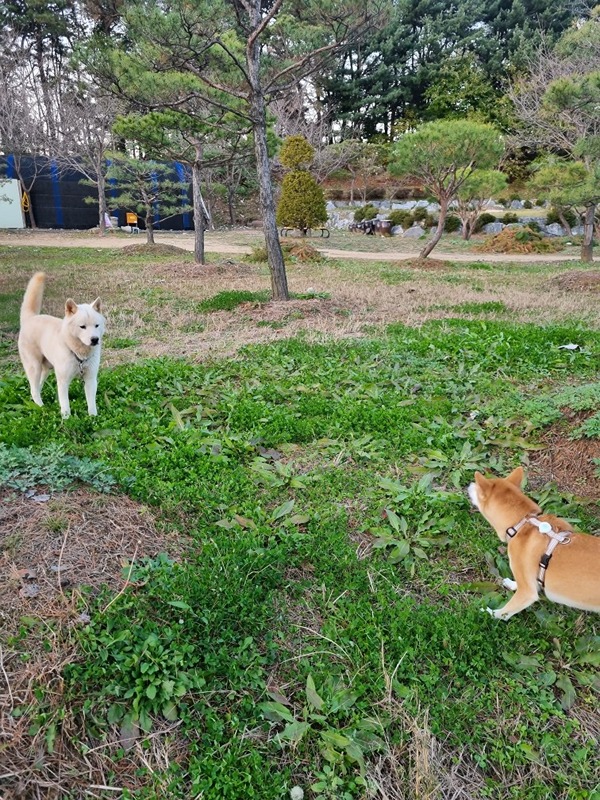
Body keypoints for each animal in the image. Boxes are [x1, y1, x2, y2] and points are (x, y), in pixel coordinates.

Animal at [18, 272, 105, 418]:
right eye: (82, 326)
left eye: (97, 325)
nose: (94, 339)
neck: (79, 354)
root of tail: (30, 318)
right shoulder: (63, 381)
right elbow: (65, 405)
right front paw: (67, 420)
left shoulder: (90, 379)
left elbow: (91, 403)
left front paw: (93, 418)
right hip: (34, 367)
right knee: (34, 390)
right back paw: (42, 408)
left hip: (46, 369)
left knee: (37, 386)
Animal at [468, 466, 600, 620]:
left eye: (477, 488)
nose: (469, 485)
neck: (523, 523)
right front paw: (512, 584)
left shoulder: (527, 593)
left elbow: (503, 613)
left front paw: (487, 612)